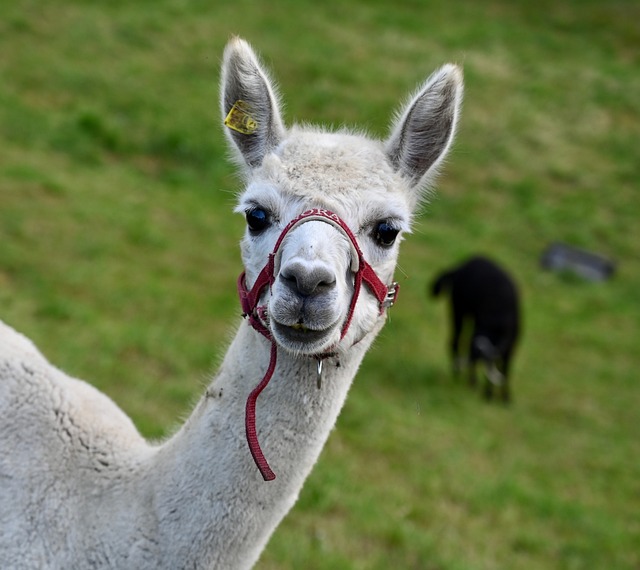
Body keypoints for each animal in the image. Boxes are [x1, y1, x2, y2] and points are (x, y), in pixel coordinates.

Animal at [430, 255, 520, 402]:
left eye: (479, 358)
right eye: (474, 357)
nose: (471, 381)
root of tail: (459, 267)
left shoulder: (511, 346)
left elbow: (505, 369)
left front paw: (505, 397)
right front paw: (488, 394)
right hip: (458, 309)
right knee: (454, 341)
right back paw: (457, 375)